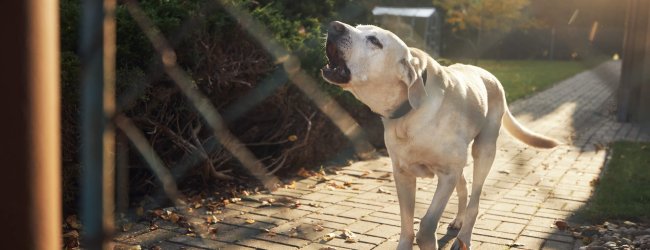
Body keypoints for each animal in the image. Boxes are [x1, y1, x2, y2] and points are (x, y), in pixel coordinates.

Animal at [318, 20, 556, 249]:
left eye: (375, 40)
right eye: (357, 28)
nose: (334, 26)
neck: (409, 113)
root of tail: (490, 75)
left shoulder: (447, 174)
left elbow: (426, 226)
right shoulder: (403, 175)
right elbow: (406, 224)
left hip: (484, 150)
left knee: (474, 201)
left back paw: (464, 237)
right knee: (464, 187)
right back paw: (458, 221)